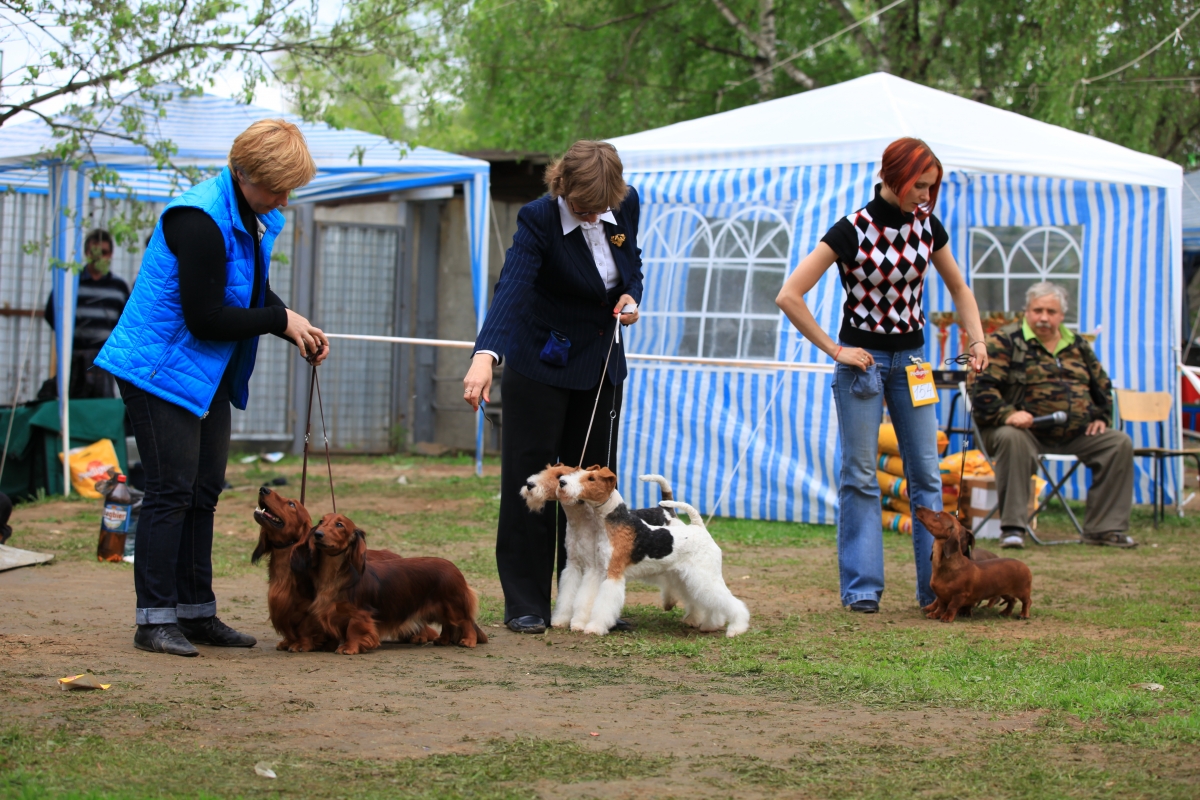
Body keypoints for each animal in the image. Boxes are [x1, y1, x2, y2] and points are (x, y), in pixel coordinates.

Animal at [300, 513, 487, 657]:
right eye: (321, 521)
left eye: (340, 525)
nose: (317, 534)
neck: (336, 574)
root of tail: (454, 567)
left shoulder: (360, 613)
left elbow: (354, 630)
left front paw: (349, 648)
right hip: (440, 608)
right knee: (448, 624)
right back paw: (443, 640)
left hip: (453, 605)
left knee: (465, 621)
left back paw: (469, 641)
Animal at [554, 462, 744, 638]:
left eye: (591, 478)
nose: (562, 482)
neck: (610, 522)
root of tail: (699, 527)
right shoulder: (599, 571)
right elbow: (588, 598)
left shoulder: (613, 574)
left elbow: (603, 606)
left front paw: (594, 628)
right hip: (689, 578)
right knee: (710, 602)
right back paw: (709, 625)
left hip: (704, 576)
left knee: (730, 602)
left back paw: (736, 628)